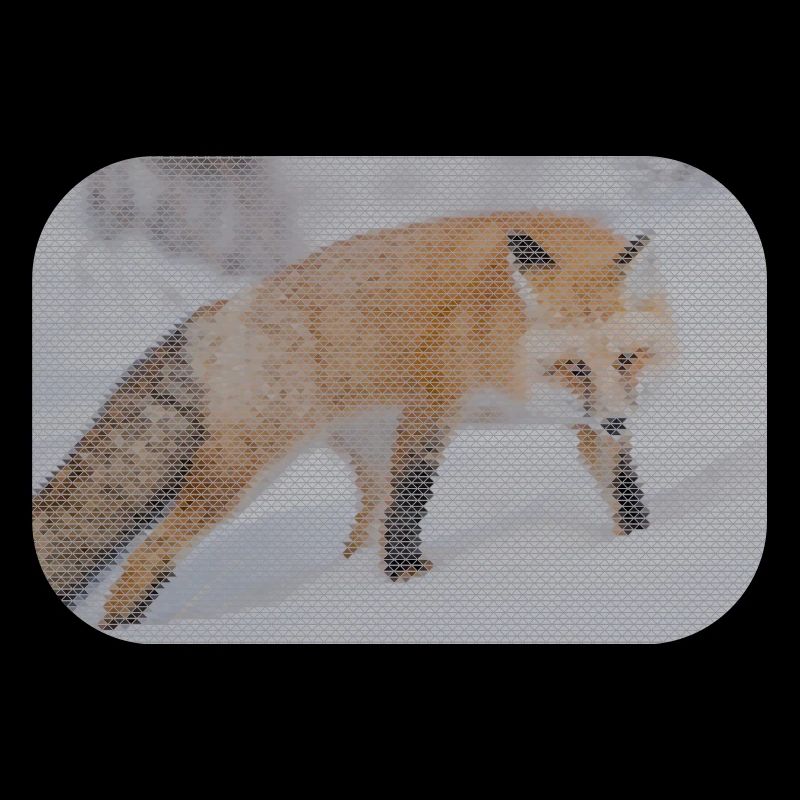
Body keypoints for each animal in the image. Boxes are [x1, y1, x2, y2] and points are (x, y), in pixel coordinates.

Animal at [32, 211, 673, 629]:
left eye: (626, 359)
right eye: (574, 366)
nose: (620, 421)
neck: (500, 335)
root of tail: (221, 309)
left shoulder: (587, 421)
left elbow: (622, 488)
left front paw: (639, 543)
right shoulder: (431, 405)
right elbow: (413, 502)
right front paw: (407, 581)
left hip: (364, 457)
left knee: (357, 537)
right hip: (242, 472)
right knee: (149, 554)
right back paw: (126, 619)